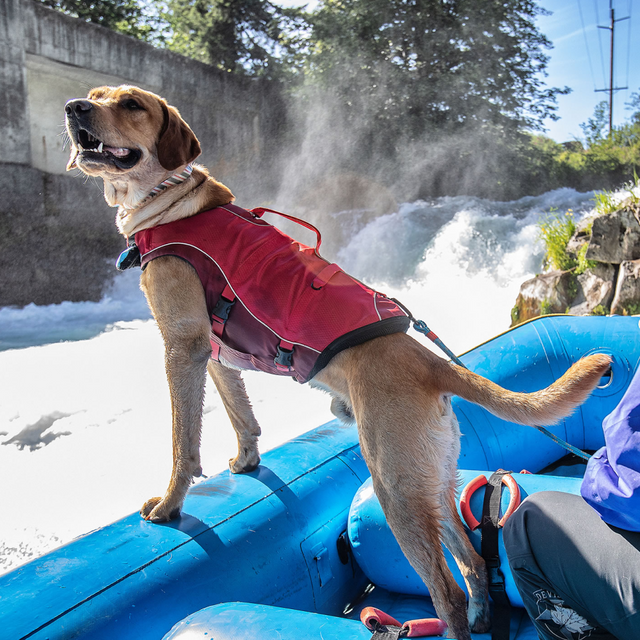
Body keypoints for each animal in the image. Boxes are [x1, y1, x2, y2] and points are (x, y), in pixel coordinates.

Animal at [65, 86, 608, 640]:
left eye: (131, 104)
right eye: (95, 97)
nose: (73, 108)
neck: (168, 202)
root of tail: (428, 360)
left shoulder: (183, 346)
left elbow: (182, 442)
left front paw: (170, 505)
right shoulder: (216, 357)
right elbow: (239, 414)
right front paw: (247, 460)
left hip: (395, 488)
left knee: (446, 590)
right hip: (433, 482)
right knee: (473, 561)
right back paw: (481, 611)